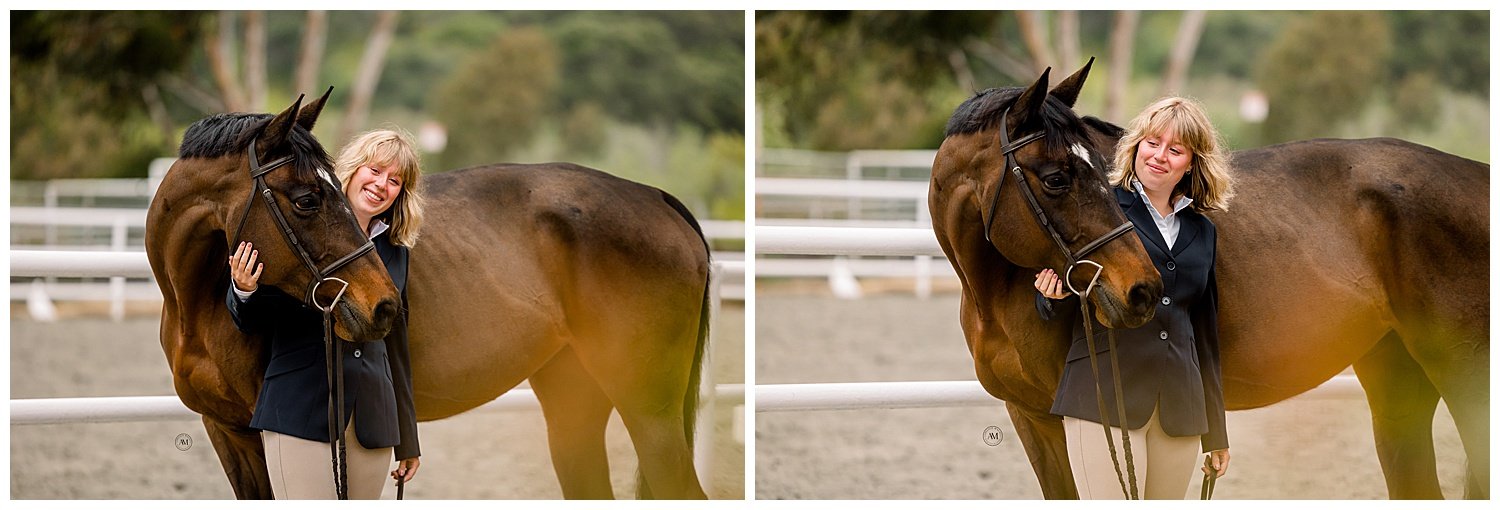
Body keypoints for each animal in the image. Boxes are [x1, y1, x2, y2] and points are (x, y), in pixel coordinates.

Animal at [147, 91, 714, 498]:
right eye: (307, 199)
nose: (385, 307)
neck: (198, 306)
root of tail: (658, 199)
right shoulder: (230, 432)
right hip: (574, 398)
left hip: (649, 409)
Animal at [924, 58, 1488, 498]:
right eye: (1057, 178)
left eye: (1104, 175)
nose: (1143, 291)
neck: (994, 292)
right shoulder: (1033, 418)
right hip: (1398, 380)